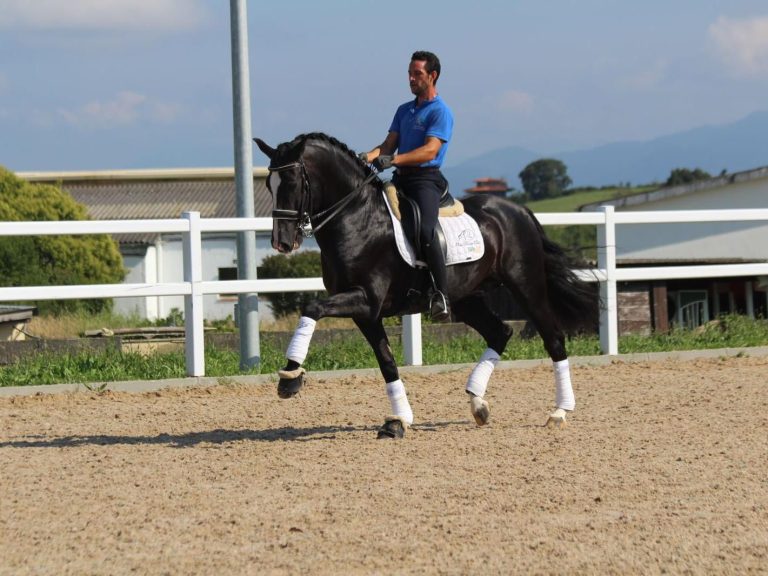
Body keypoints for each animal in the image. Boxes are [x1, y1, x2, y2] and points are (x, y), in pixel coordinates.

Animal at [255, 133, 596, 438]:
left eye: (292, 183)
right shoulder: (365, 313)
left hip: (526, 286)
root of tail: (518, 210)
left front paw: (290, 378)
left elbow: (311, 307)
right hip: (466, 298)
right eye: (270, 185)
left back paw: (559, 412)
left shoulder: (365, 299)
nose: (281, 243)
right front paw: (399, 421)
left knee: (553, 338)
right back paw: (478, 404)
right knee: (500, 332)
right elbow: (387, 362)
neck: (356, 219)